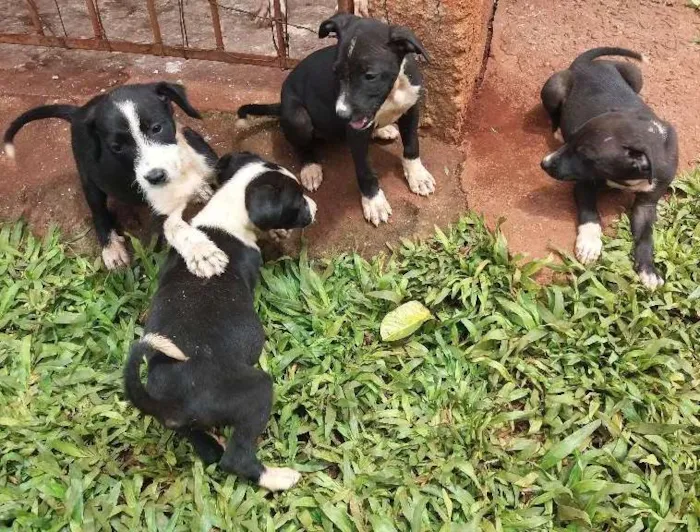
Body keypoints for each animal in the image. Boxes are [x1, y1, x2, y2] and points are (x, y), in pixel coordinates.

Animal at [3, 82, 227, 278]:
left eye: (156, 128)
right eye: (117, 147)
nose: (155, 177)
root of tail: (79, 113)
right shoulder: (159, 208)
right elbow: (175, 228)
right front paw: (203, 254)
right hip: (89, 178)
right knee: (98, 213)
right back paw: (111, 248)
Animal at [125, 152, 318, 492]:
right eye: (297, 200)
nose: (316, 207)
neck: (227, 212)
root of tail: (169, 404)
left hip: (189, 429)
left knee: (211, 453)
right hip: (256, 390)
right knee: (236, 458)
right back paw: (279, 477)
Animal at [540, 47, 680, 288]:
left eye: (586, 155)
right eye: (572, 138)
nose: (544, 163)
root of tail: (584, 65)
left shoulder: (648, 202)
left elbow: (646, 236)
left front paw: (648, 270)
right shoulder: (584, 184)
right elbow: (590, 213)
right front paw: (589, 244)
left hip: (635, 74)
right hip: (554, 87)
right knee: (554, 112)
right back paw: (556, 129)